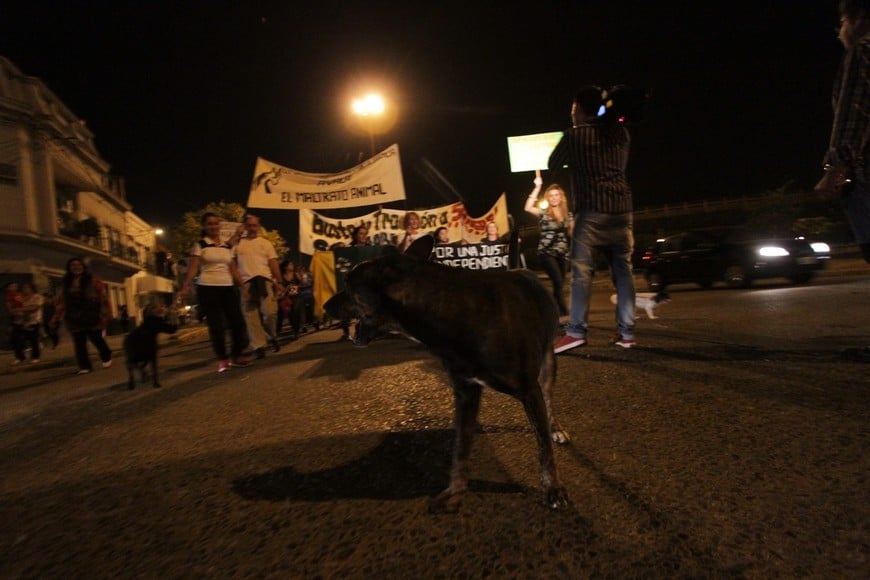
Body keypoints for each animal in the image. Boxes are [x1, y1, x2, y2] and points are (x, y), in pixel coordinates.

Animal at [324, 236, 568, 512]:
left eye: (348, 284)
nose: (324, 306)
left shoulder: (529, 390)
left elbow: (544, 446)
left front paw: (552, 487)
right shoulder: (466, 393)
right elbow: (460, 447)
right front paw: (456, 491)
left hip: (548, 365)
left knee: (548, 401)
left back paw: (555, 428)